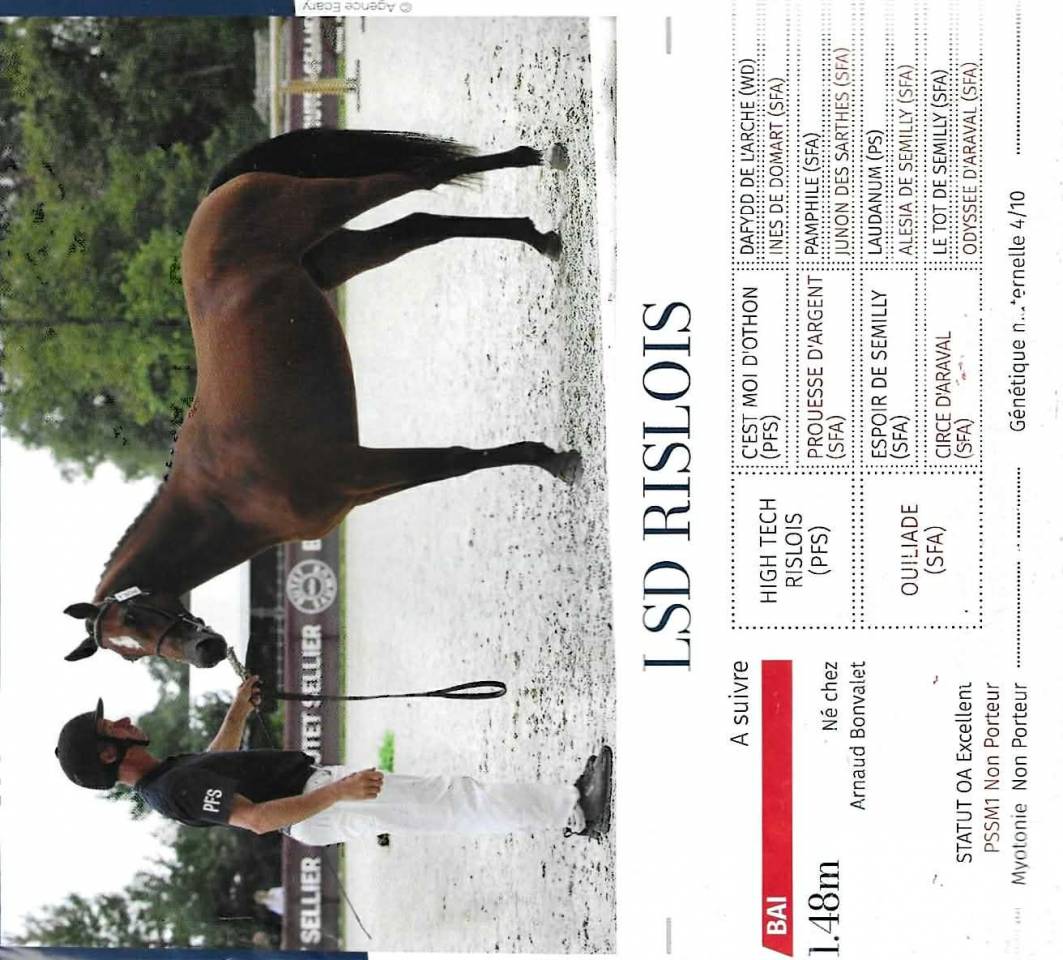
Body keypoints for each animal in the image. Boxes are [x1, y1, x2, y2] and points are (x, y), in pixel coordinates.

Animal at [61, 128, 581, 669]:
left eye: (136, 616)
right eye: (132, 652)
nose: (207, 650)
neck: (227, 494)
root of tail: (213, 199)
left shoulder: (358, 467)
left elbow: (455, 460)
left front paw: (555, 461)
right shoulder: (361, 486)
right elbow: (449, 465)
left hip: (329, 204)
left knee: (423, 178)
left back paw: (534, 163)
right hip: (339, 253)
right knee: (421, 224)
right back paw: (541, 237)